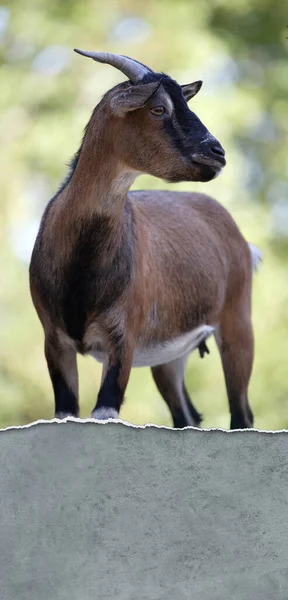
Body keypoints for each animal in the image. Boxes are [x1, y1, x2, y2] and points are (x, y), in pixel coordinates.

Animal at [29, 49, 260, 428]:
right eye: (158, 109)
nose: (217, 153)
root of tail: (242, 241)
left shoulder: (122, 339)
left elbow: (104, 411)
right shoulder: (55, 340)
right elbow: (66, 412)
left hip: (237, 324)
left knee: (241, 413)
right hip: (170, 356)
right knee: (187, 416)